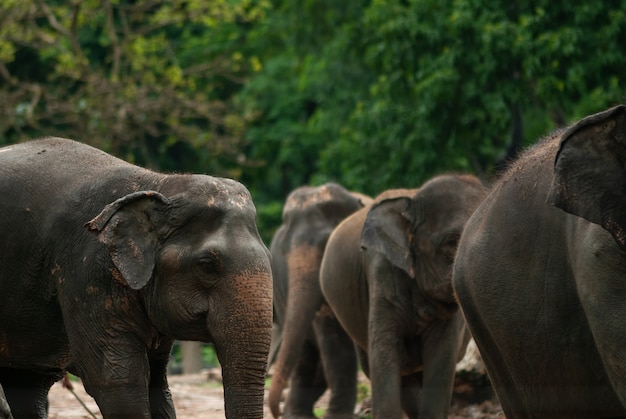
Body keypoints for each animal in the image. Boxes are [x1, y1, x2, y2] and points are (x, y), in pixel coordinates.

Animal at [0, 139, 272, 419]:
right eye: (207, 266)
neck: (157, 183)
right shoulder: (84, 270)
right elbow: (117, 381)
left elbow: (158, 382)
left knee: (27, 383)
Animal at [266, 184, 368, 419]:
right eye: (284, 250)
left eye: (325, 245)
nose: (276, 412)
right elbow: (331, 335)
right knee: (305, 353)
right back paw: (296, 414)